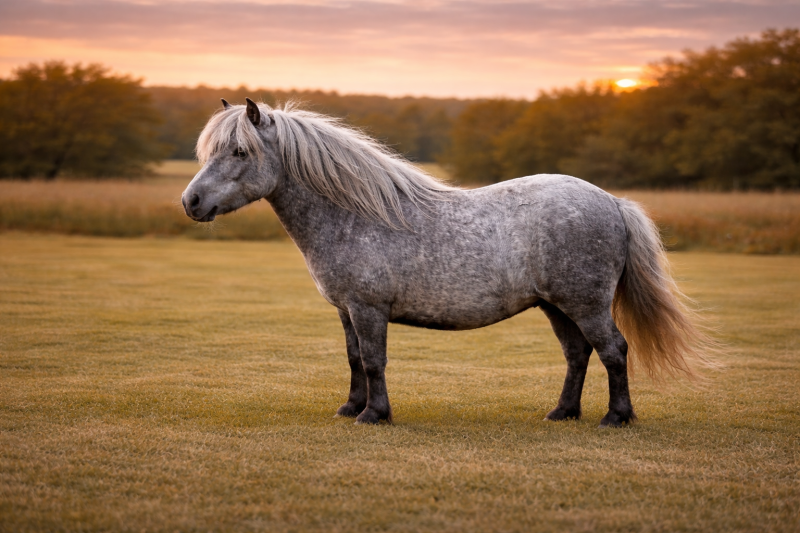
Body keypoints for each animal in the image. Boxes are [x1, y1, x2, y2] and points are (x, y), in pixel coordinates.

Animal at [181, 98, 716, 427]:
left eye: (239, 151)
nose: (190, 201)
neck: (354, 214)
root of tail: (610, 201)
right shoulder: (346, 310)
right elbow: (353, 358)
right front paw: (351, 407)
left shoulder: (369, 310)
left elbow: (374, 360)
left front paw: (375, 414)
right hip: (557, 306)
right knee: (577, 354)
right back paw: (562, 413)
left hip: (585, 304)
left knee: (614, 350)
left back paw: (615, 417)